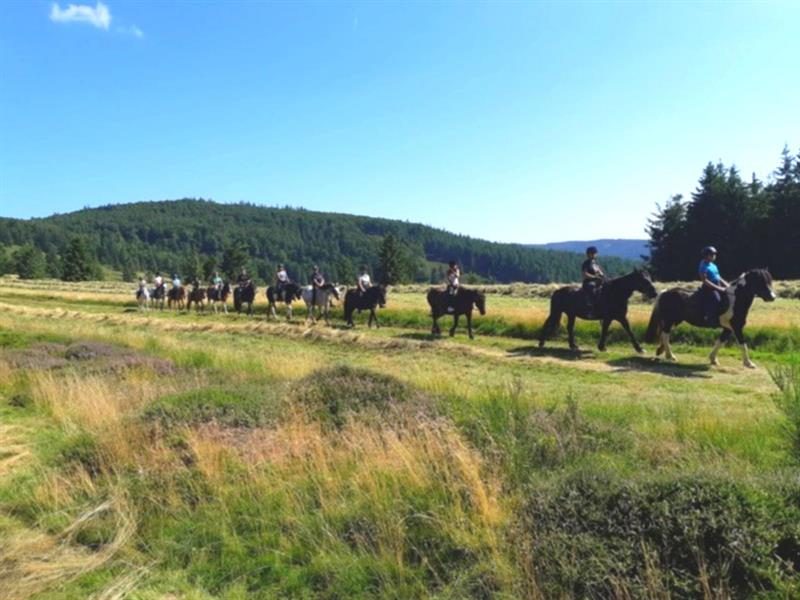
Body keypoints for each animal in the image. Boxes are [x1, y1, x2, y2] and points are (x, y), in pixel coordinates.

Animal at [645, 268, 776, 368]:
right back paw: (670, 355)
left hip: (675, 321)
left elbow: (720, 342)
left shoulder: (728, 329)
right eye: (761, 281)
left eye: (769, 280)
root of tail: (664, 292)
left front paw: (713, 359)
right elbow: (743, 344)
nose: (772, 297)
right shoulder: (736, 327)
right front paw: (749, 364)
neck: (735, 299)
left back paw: (662, 352)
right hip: (669, 320)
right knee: (665, 335)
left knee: (664, 334)